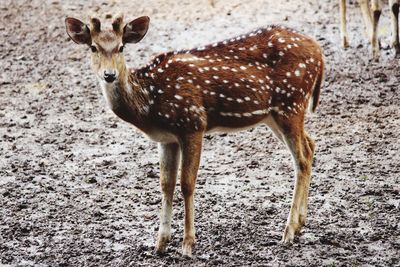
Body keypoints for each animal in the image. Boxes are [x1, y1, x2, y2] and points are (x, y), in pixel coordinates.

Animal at [64, 14, 324, 258]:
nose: (109, 75)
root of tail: (319, 52)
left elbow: (187, 184)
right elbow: (165, 184)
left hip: (291, 102)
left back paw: (289, 231)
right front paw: (160, 244)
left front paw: (188, 244)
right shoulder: (167, 139)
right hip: (274, 115)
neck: (149, 104)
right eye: (93, 47)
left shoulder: (193, 124)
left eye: (121, 47)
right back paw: (301, 223)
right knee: (310, 145)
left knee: (301, 158)